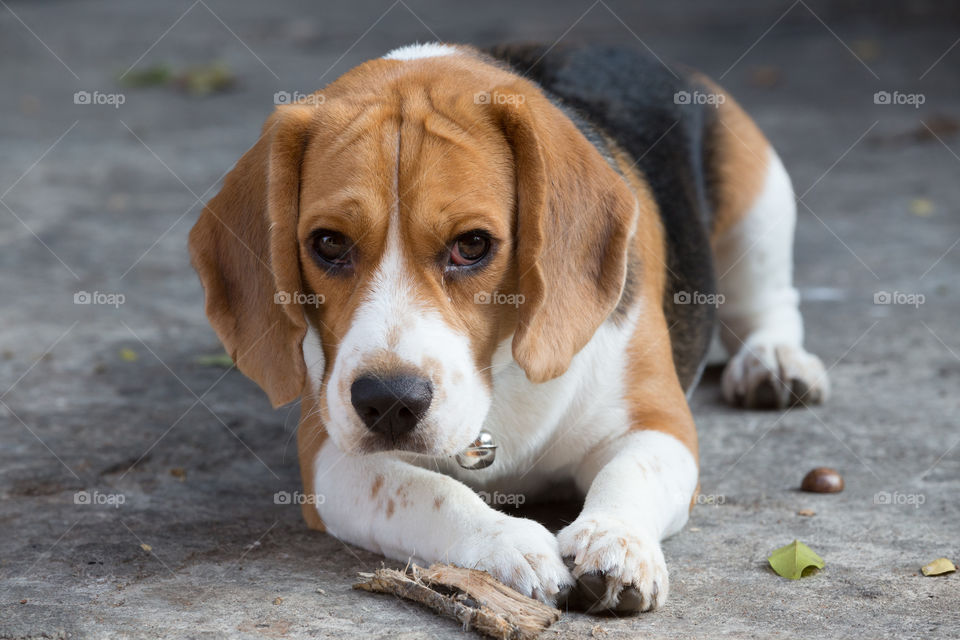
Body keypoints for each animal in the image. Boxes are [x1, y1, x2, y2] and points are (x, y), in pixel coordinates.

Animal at [189, 42, 832, 612]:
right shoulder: (328, 457)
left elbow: (630, 471)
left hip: (759, 207)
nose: (389, 403)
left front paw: (615, 541)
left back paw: (774, 363)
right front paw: (506, 543)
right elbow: (430, 491)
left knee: (772, 303)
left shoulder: (660, 423)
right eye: (327, 243)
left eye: (472, 245)